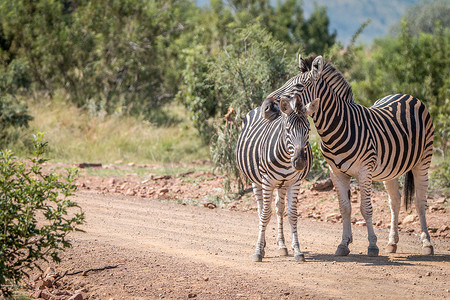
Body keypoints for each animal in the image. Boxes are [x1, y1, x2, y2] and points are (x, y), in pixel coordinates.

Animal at [237, 98, 314, 260]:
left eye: (308, 130)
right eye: (288, 130)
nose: (299, 162)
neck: (285, 158)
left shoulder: (294, 182)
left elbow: (292, 215)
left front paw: (297, 250)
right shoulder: (267, 181)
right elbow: (266, 214)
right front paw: (258, 251)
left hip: (282, 184)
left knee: (279, 209)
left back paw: (282, 245)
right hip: (256, 181)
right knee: (261, 209)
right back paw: (263, 243)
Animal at [262, 54, 434, 255]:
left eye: (299, 86)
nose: (265, 107)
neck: (338, 127)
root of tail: (406, 95)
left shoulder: (365, 171)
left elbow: (366, 208)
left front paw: (372, 245)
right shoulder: (336, 172)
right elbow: (345, 208)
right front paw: (344, 244)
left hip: (423, 160)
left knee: (420, 201)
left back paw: (427, 243)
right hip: (391, 168)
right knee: (395, 201)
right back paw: (392, 243)